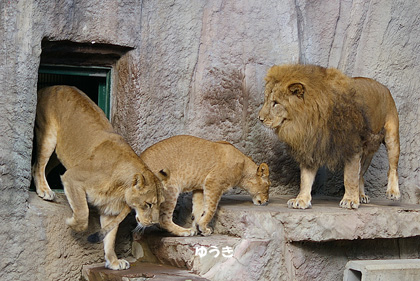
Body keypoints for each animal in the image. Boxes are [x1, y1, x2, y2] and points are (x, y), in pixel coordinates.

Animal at [32, 85, 166, 270]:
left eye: (160, 204)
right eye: (148, 204)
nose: (153, 223)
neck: (120, 189)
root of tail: (49, 86)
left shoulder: (111, 210)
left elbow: (110, 238)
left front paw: (114, 262)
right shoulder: (72, 177)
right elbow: (83, 214)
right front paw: (71, 222)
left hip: (58, 152)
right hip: (48, 135)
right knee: (38, 164)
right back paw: (45, 190)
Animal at [138, 135, 270, 235]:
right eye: (268, 187)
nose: (266, 201)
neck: (244, 167)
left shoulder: (200, 188)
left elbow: (198, 209)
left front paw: (198, 226)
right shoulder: (213, 182)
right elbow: (211, 208)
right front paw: (203, 227)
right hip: (170, 188)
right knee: (163, 219)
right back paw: (185, 231)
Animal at [260, 63, 400, 208]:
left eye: (275, 103)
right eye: (266, 100)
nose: (260, 118)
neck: (308, 119)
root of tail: (383, 86)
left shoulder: (351, 146)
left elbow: (350, 177)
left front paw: (349, 200)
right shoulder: (311, 146)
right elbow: (305, 178)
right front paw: (301, 199)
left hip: (392, 137)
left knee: (392, 168)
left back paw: (393, 192)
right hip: (367, 153)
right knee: (361, 174)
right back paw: (361, 196)